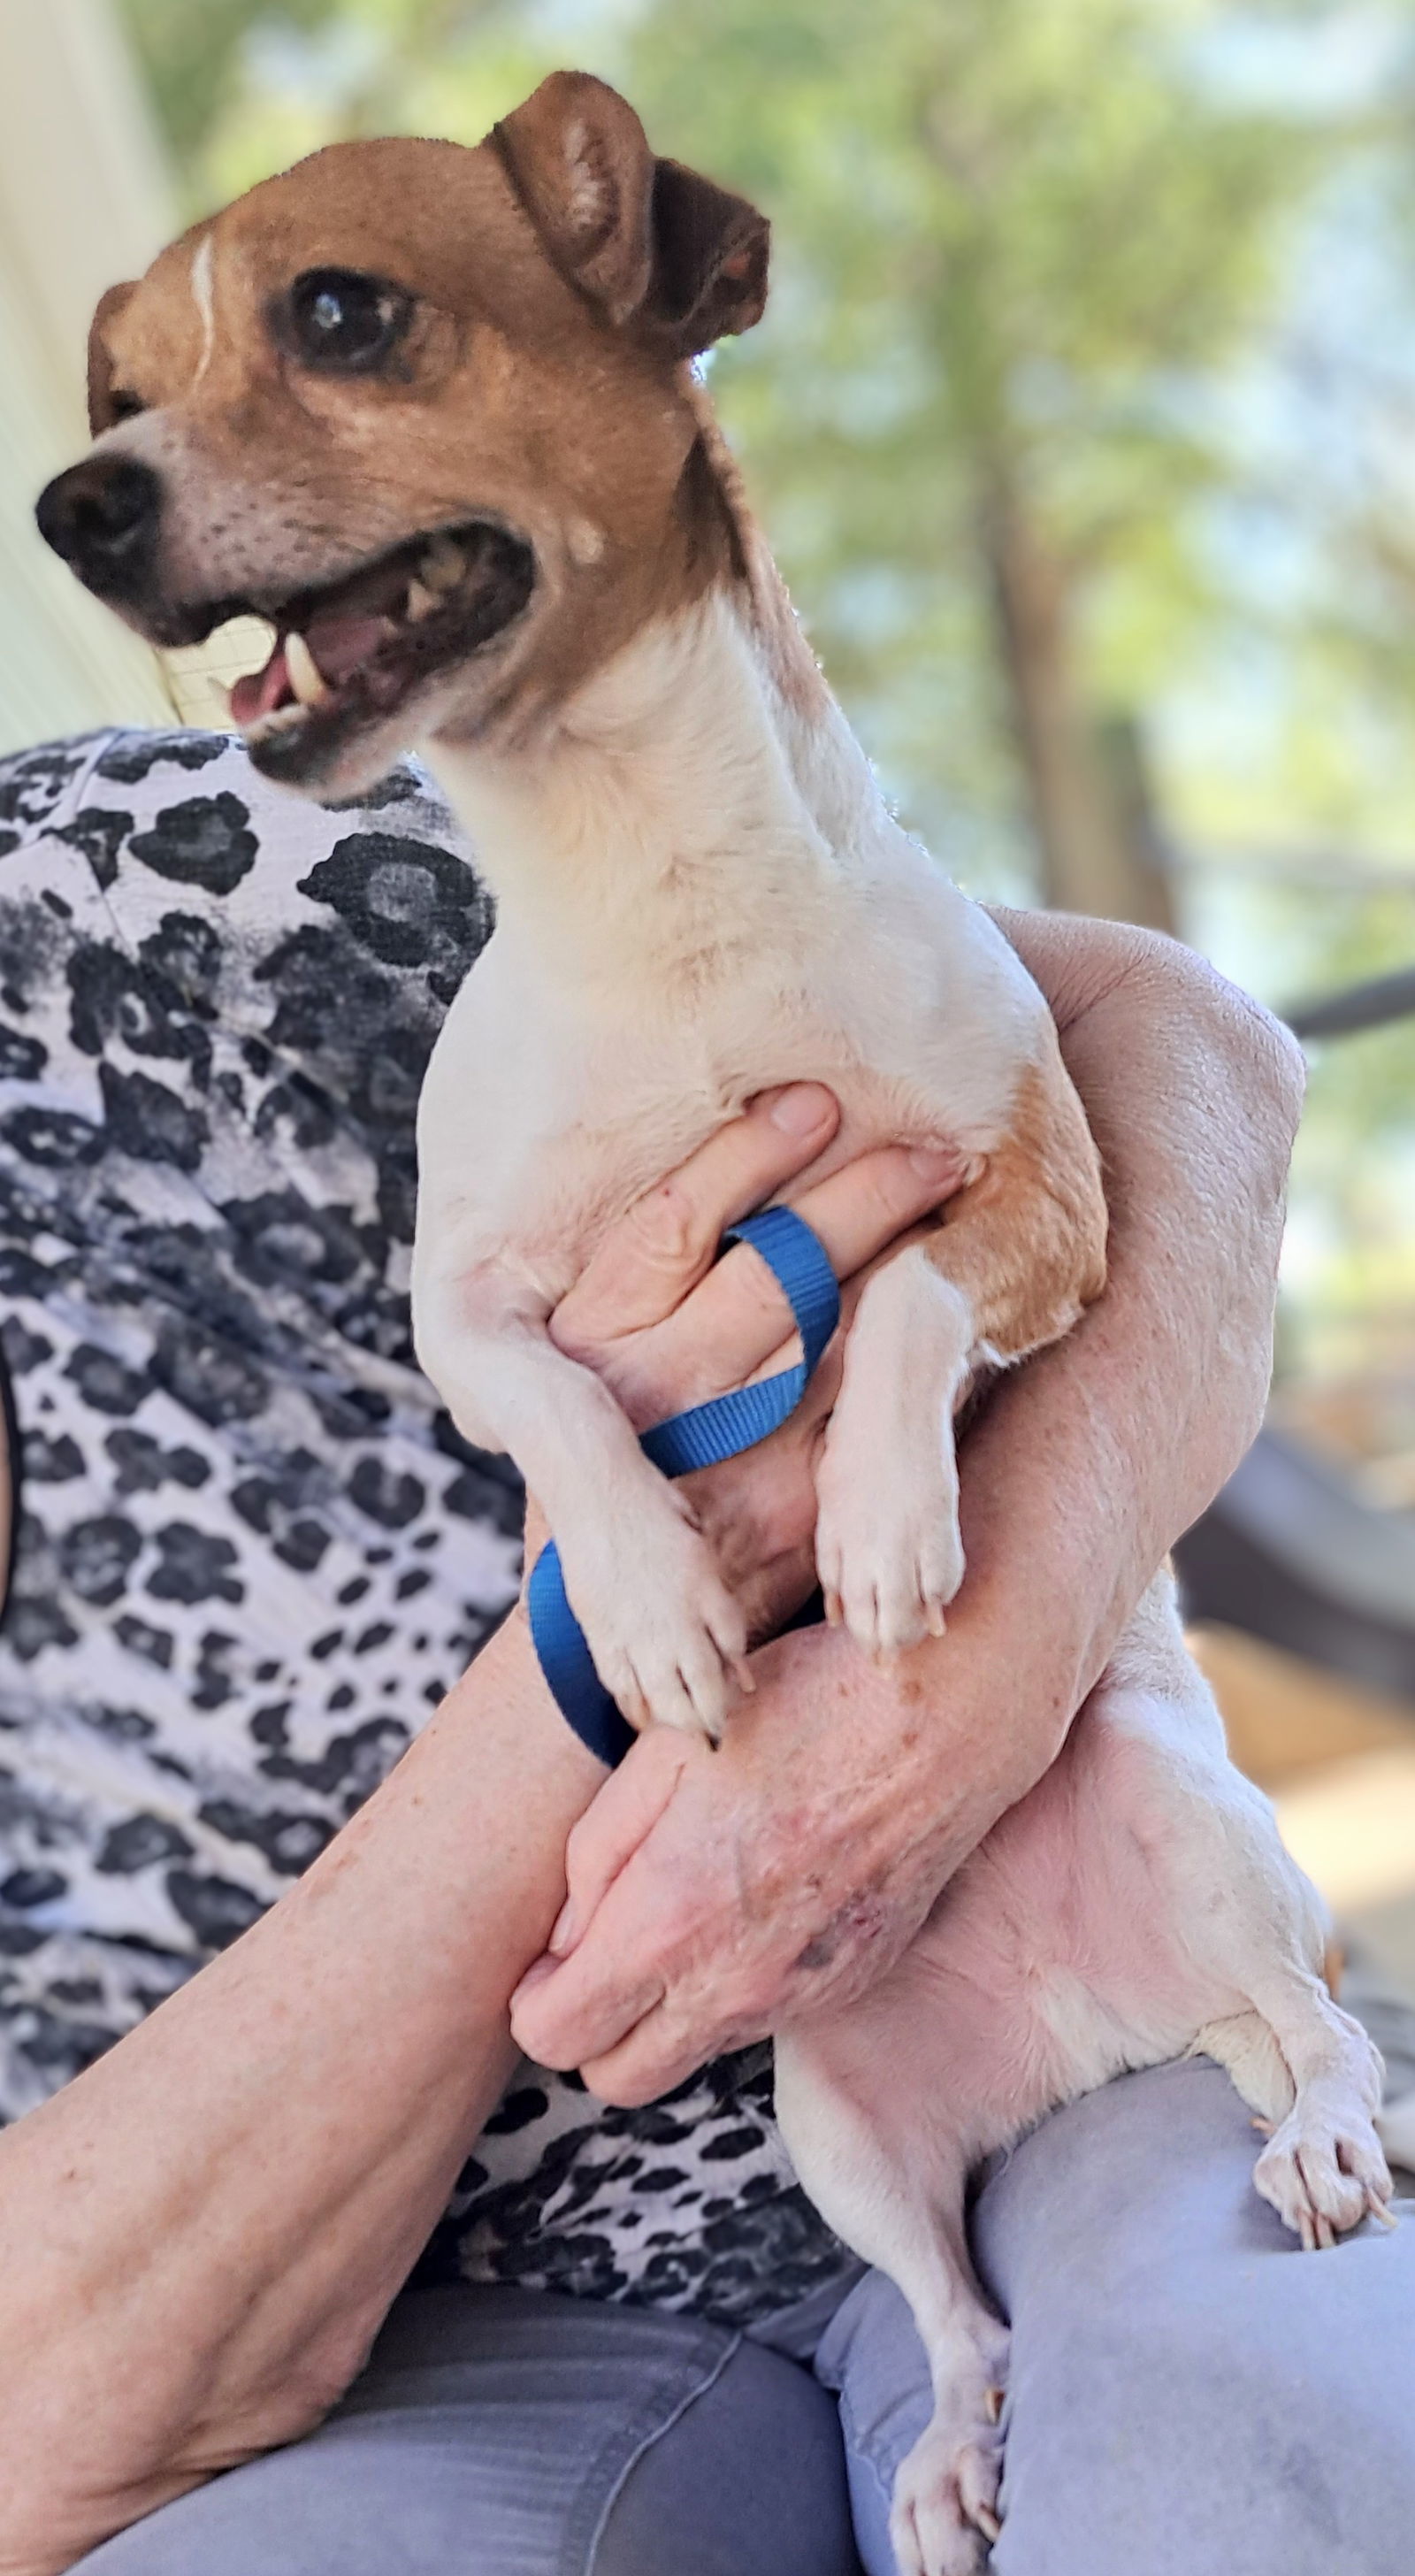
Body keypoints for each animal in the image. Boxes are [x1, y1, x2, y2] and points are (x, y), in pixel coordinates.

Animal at [38, 70, 1391, 2565]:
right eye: (114, 398)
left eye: (340, 314)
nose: (70, 508)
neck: (643, 894)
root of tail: (1089, 2032)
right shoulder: (473, 1308)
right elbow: (572, 1409)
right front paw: (664, 1606)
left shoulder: (1044, 1181)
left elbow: (901, 1303)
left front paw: (866, 1529)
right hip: (843, 2125)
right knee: (965, 2321)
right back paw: (950, 2458)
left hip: (1193, 1831)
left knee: (1320, 2035)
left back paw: (1326, 2130)